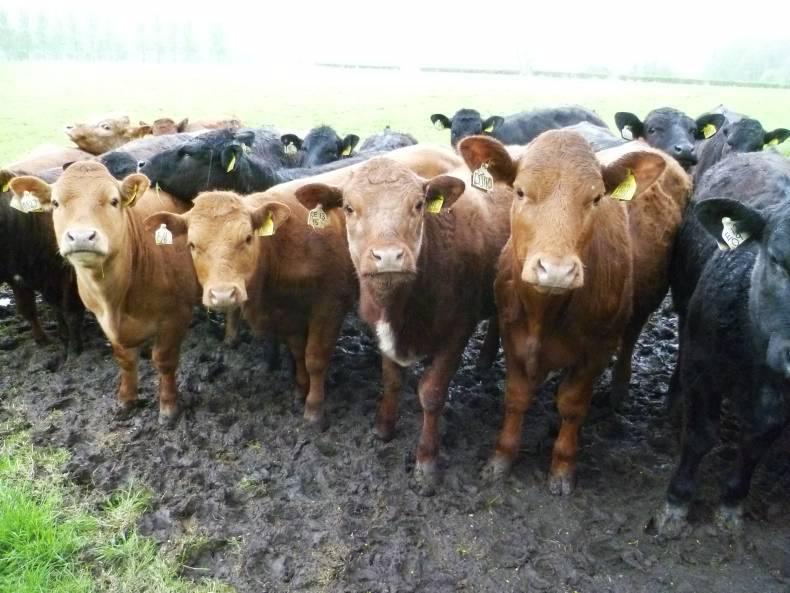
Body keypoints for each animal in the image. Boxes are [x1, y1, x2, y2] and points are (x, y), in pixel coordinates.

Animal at [0, 169, 84, 355]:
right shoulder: (16, 278)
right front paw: (45, 339)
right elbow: (30, 309)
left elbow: (71, 310)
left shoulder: (70, 273)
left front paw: (75, 349)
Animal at [9, 162, 199, 423]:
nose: (81, 237)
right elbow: (125, 360)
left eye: (114, 201)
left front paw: (169, 407)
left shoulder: (176, 316)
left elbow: (164, 360)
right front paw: (126, 400)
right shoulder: (104, 320)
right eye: (55, 203)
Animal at [292, 156, 512, 494]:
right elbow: (392, 379)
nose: (388, 257)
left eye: (419, 204)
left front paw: (427, 462)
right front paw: (384, 428)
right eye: (349, 207)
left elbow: (431, 394)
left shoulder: (457, 332)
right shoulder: (380, 330)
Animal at [458, 132, 666, 495]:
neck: (545, 314)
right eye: (520, 191)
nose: (555, 270)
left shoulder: (597, 350)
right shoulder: (513, 338)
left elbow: (572, 405)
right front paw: (502, 458)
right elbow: (516, 397)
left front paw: (563, 467)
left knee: (631, 339)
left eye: (596, 198)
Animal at [655, 151, 790, 536]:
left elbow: (756, 442)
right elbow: (701, 434)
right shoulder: (703, 368)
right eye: (777, 259)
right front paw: (677, 501)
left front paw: (732, 502)